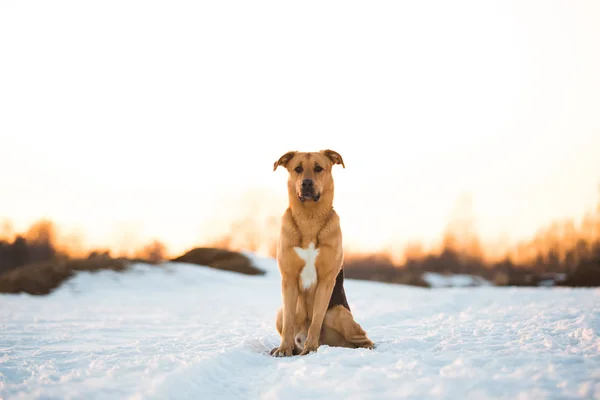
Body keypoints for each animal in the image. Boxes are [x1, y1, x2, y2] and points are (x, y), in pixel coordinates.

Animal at [270, 150, 372, 356]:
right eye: (298, 169)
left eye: (318, 168)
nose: (307, 183)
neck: (309, 218)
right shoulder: (289, 279)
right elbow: (288, 323)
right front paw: (283, 349)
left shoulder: (326, 281)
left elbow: (316, 320)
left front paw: (310, 349)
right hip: (279, 312)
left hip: (339, 313)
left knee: (363, 337)